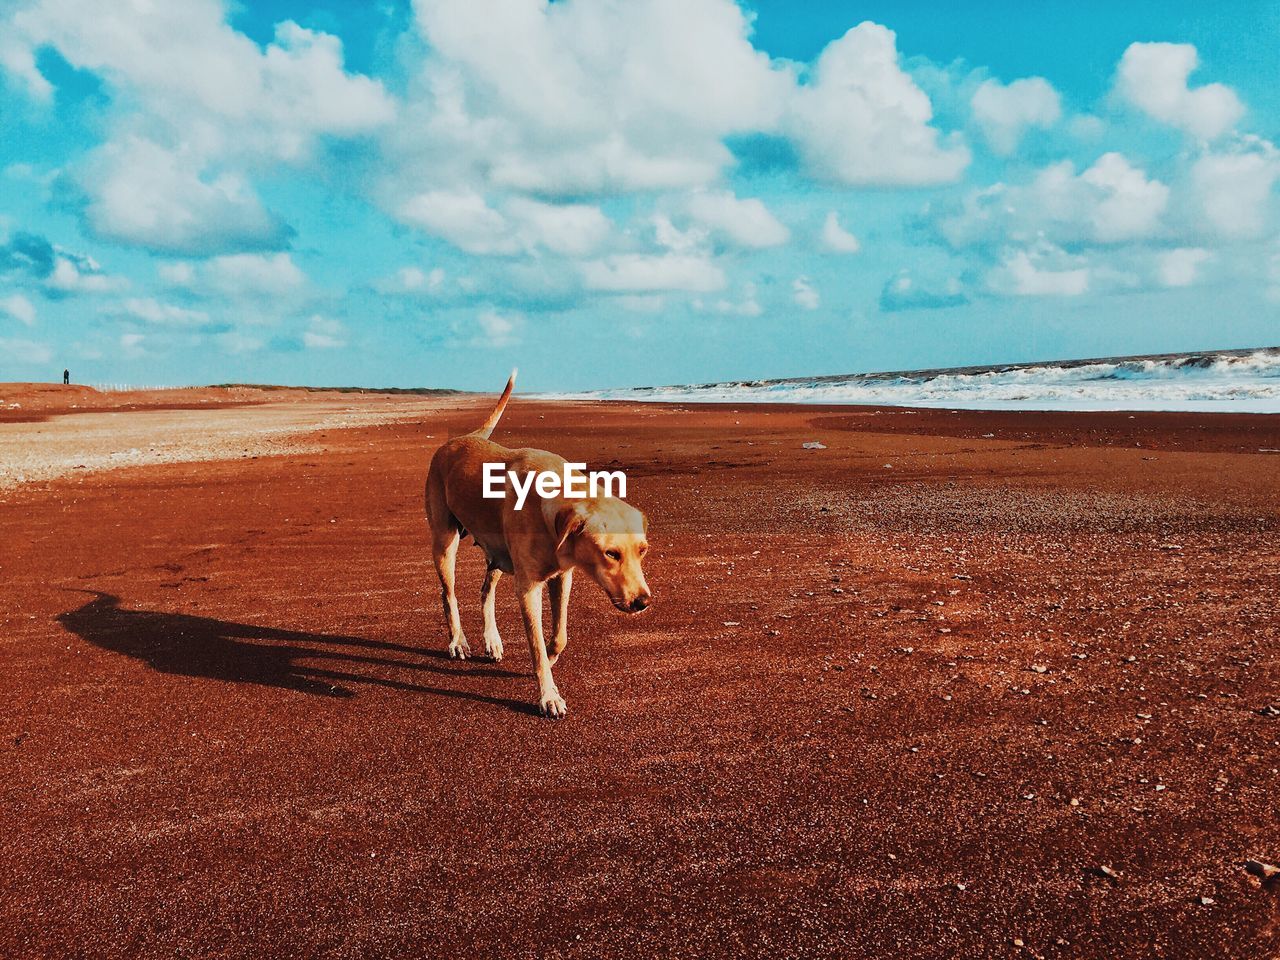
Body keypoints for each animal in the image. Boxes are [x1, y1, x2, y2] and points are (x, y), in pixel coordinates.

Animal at [427, 371, 650, 716]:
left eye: (642, 551)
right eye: (611, 553)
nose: (642, 602)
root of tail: (460, 437)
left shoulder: (562, 576)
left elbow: (559, 636)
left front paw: (552, 653)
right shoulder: (528, 588)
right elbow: (535, 646)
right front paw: (548, 695)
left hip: (498, 555)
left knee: (486, 591)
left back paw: (492, 639)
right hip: (444, 541)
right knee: (448, 593)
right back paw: (458, 641)